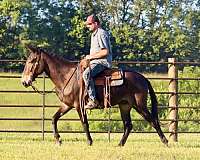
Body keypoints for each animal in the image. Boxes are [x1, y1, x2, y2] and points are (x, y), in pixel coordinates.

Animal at [21, 45, 168, 146]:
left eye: (32, 61)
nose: (24, 81)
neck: (67, 76)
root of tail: (143, 78)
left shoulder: (79, 106)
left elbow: (84, 123)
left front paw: (89, 141)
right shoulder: (66, 105)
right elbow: (54, 119)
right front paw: (58, 140)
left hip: (140, 105)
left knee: (153, 121)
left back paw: (165, 141)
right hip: (125, 106)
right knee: (128, 125)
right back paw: (120, 144)